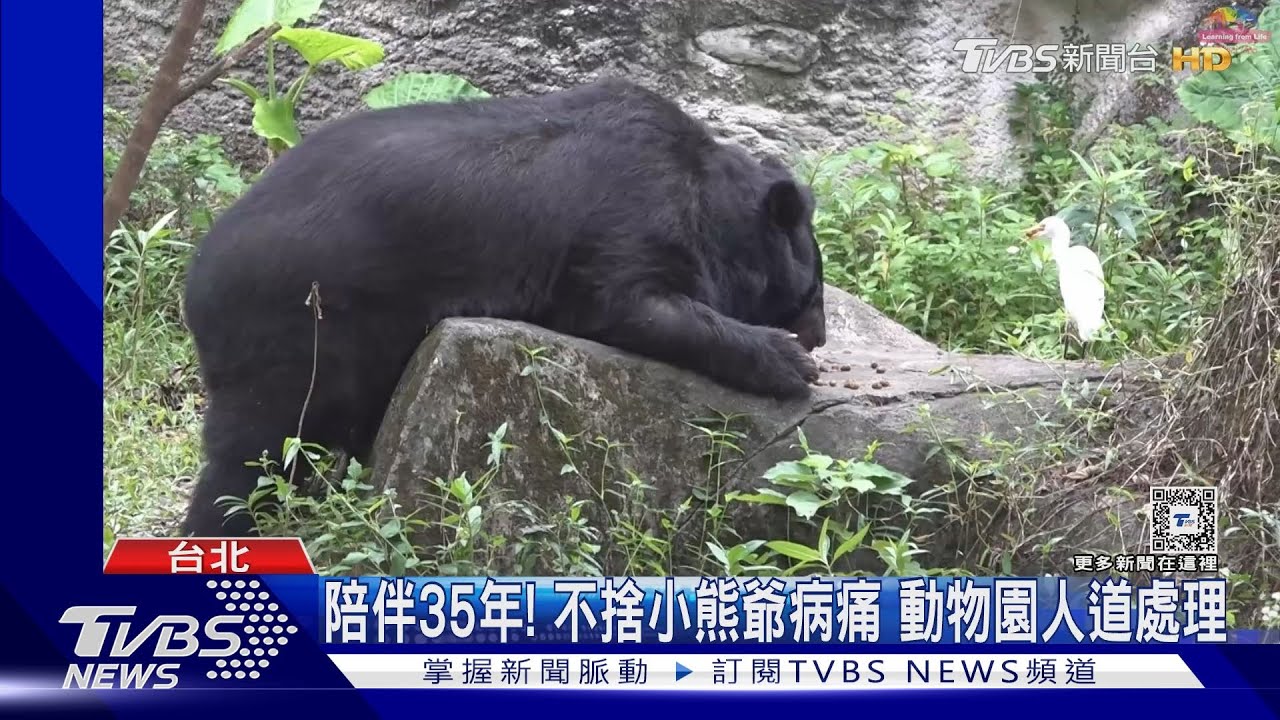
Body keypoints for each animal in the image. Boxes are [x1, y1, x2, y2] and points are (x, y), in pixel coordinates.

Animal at [180, 77, 827, 537]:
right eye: (814, 288)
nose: (818, 335)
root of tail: (196, 281)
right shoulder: (626, 214)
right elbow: (628, 304)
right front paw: (789, 363)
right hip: (299, 328)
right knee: (255, 451)